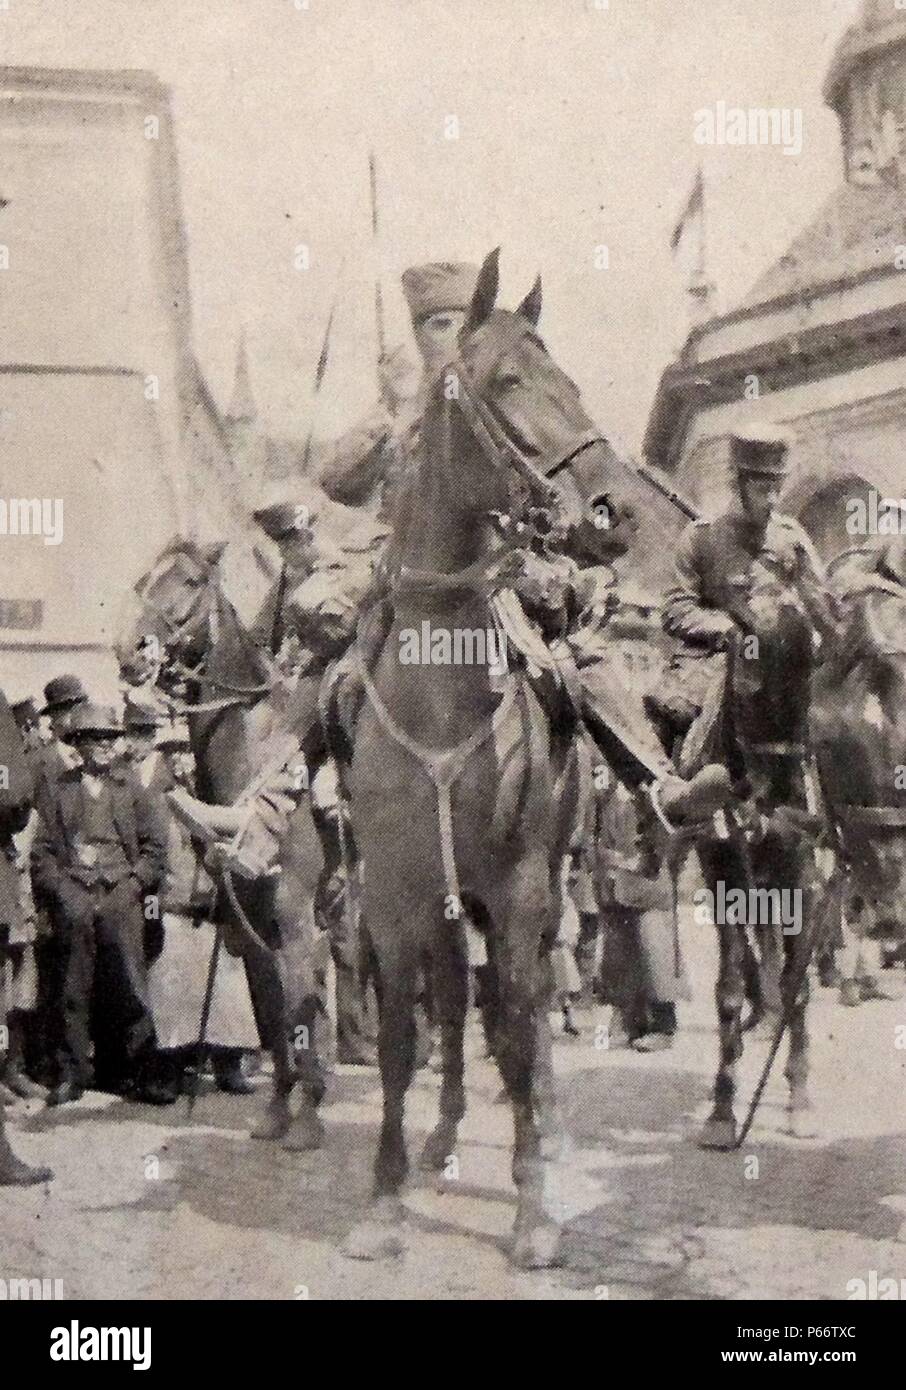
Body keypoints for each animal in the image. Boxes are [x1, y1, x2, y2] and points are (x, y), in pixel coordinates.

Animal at [118, 542, 325, 1150]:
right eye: (144, 579)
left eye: (190, 581)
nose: (129, 650)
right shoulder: (247, 922)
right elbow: (272, 1015)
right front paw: (278, 1111)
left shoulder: (296, 918)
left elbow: (298, 1013)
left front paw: (307, 1119)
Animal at [339, 250, 622, 1273]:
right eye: (506, 381)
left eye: (566, 376)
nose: (609, 515)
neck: (439, 688)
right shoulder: (394, 895)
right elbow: (397, 1038)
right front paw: (383, 1199)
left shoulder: (523, 884)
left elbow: (526, 1024)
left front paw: (533, 1209)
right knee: (459, 1003)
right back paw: (444, 1134)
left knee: (519, 1010)